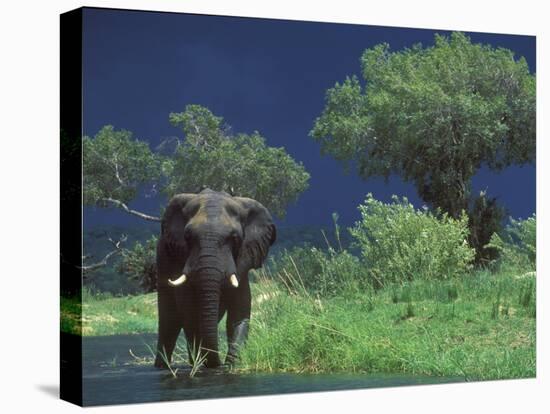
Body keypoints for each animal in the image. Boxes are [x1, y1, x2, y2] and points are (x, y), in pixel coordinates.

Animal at [154, 188, 276, 368]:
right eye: (188, 237)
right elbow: (189, 313)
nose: (218, 363)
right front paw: (203, 363)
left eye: (234, 238)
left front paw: (231, 364)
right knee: (169, 322)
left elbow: (238, 315)